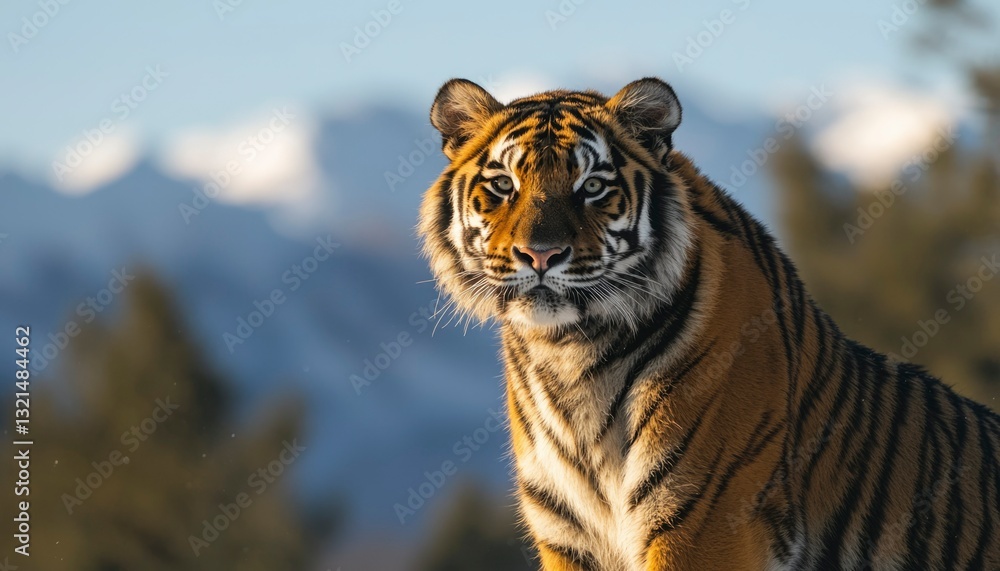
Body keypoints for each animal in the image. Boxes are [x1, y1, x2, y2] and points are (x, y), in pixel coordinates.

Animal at [417, 76, 1000, 570]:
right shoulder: (568, 534)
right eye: (503, 184)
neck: (568, 351)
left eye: (592, 186)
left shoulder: (703, 521)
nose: (540, 255)